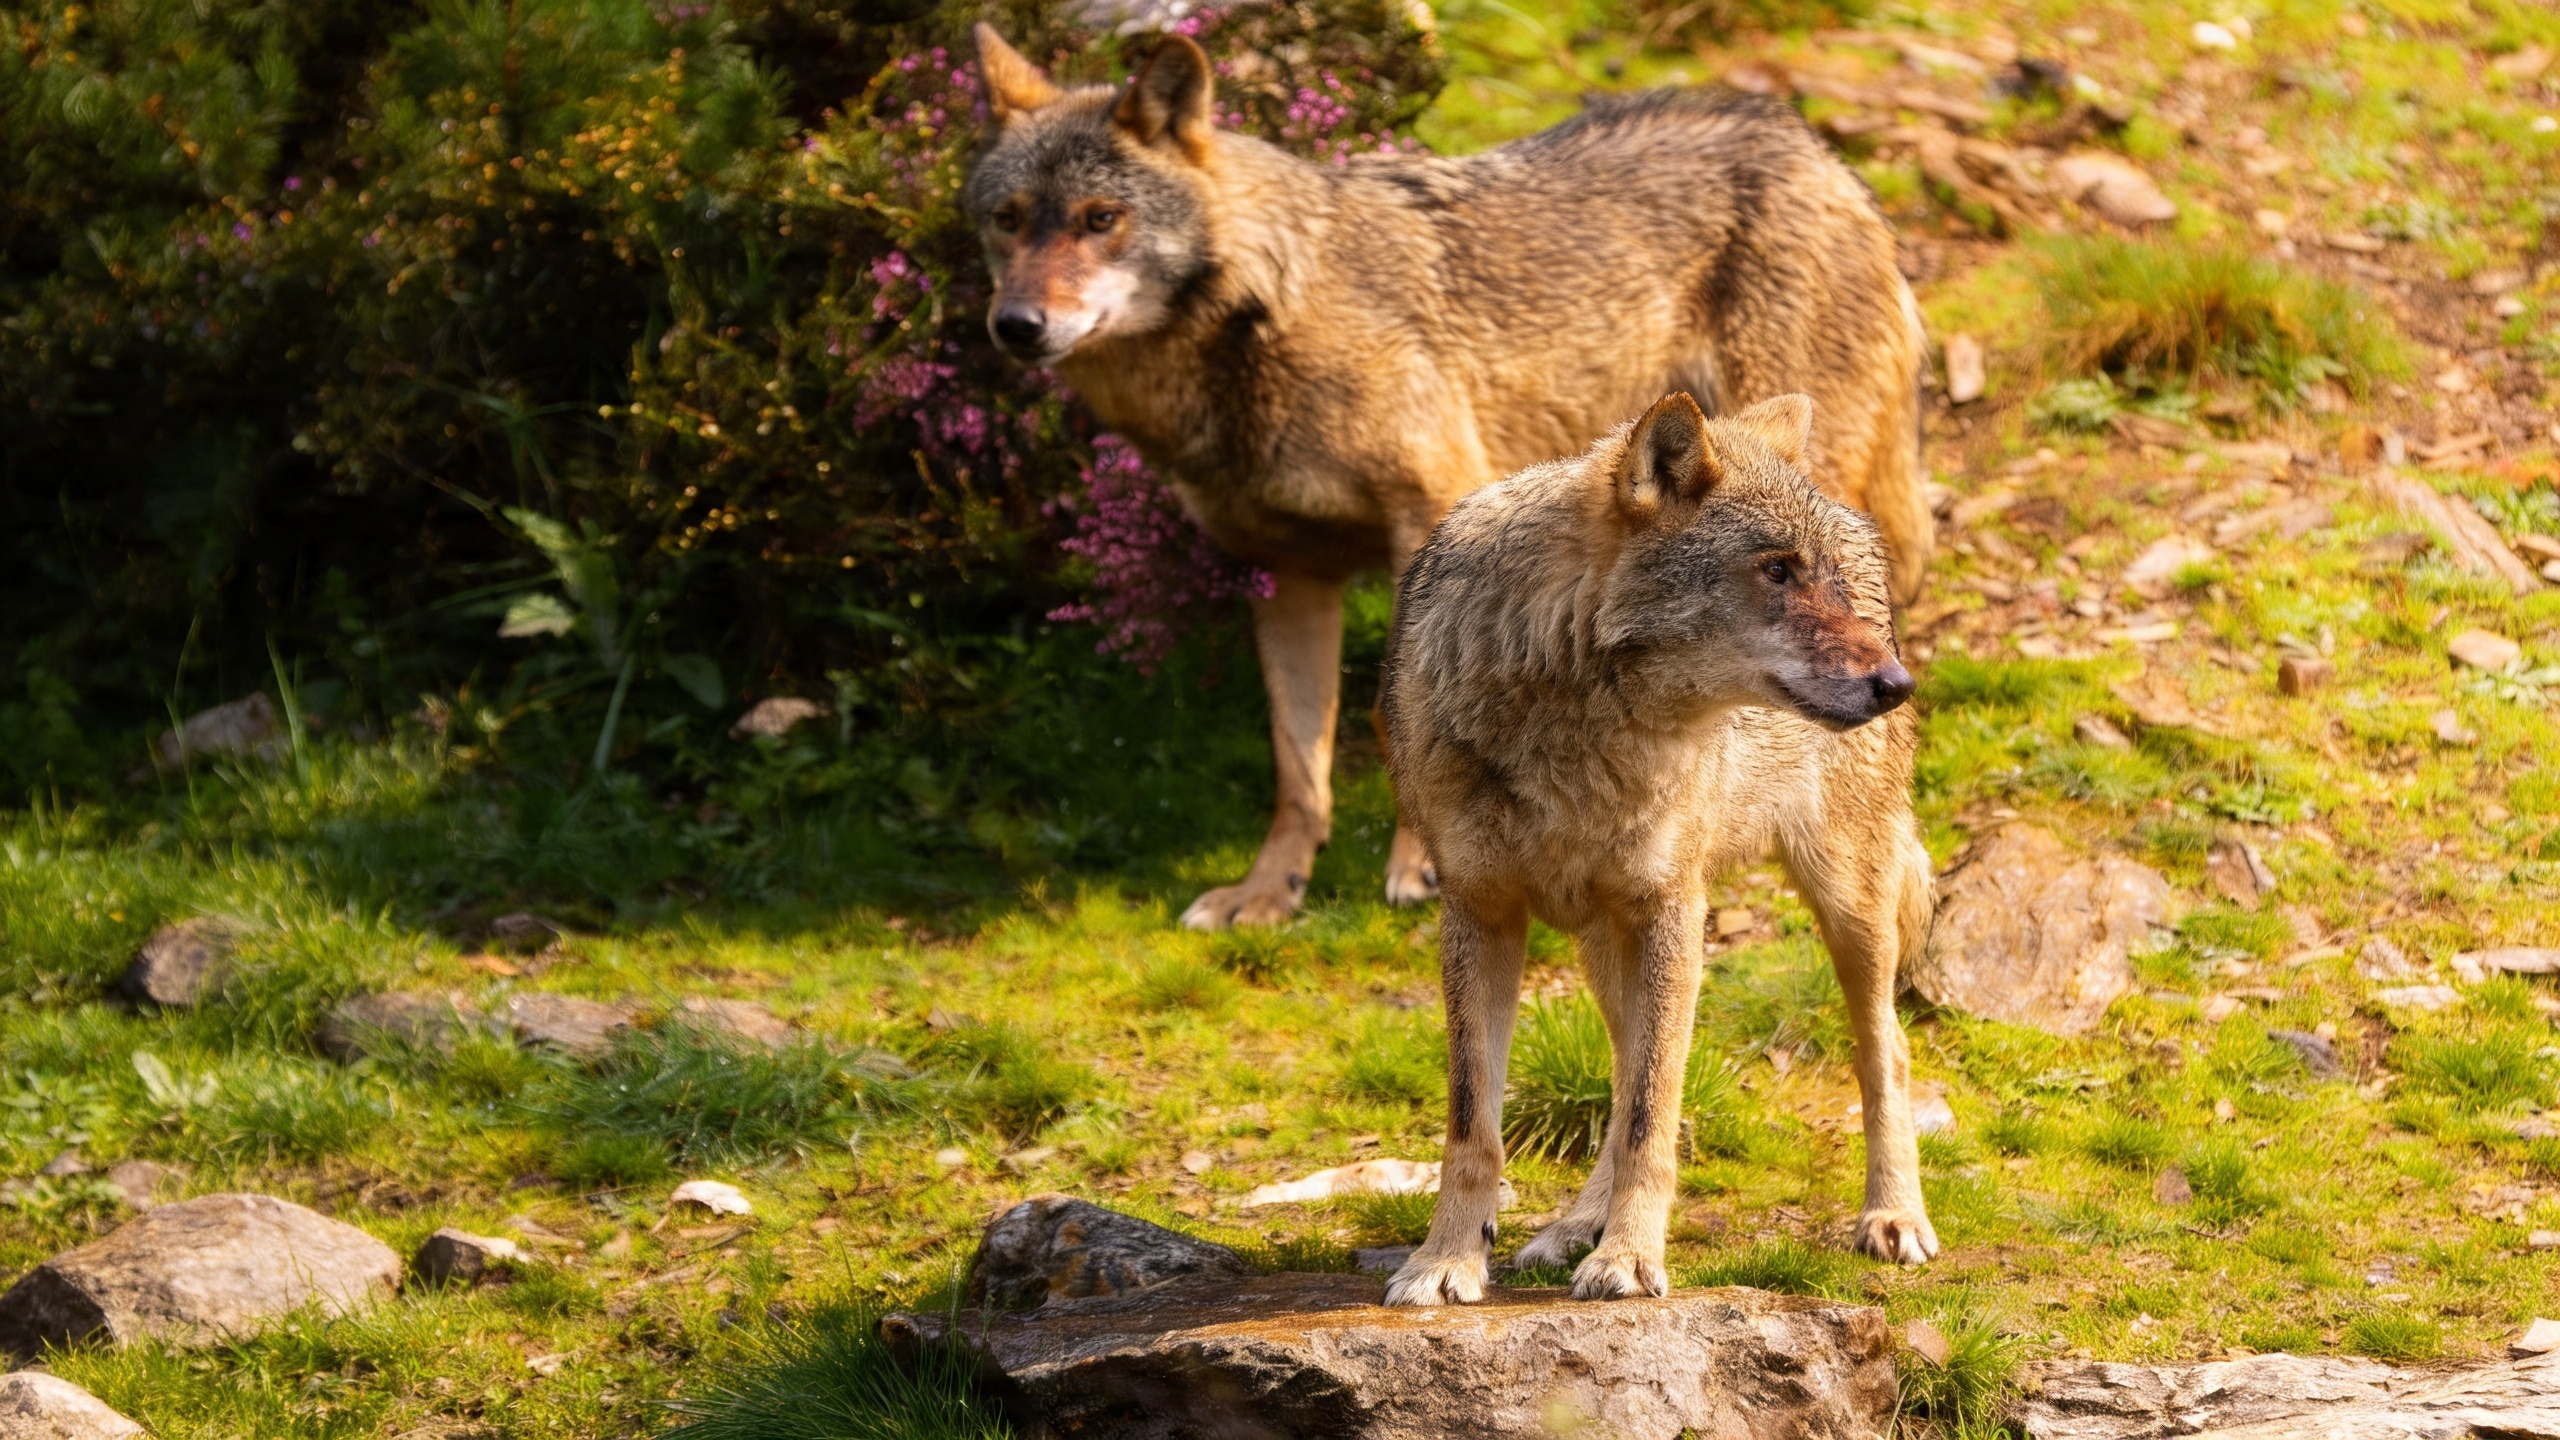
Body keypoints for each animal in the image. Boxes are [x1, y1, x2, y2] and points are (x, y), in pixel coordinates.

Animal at [967, 27, 1930, 929]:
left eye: (1100, 218)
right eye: (1007, 220)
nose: (1016, 324)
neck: (1263, 320)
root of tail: (1814, 149)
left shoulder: (1424, 513)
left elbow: (1394, 713)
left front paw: (1422, 865)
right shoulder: (1287, 575)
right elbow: (1297, 763)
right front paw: (1270, 890)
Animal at [1377, 392, 1936, 1302]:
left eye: (1823, 578)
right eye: (1776, 571)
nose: (1895, 684)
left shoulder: (1673, 907)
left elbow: (1652, 1116)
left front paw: (1631, 1258)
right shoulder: (1478, 912)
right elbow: (1475, 1126)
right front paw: (1448, 1261)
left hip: (1846, 904)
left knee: (1886, 1048)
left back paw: (1894, 1215)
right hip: (1609, 943)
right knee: (1622, 1068)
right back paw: (1574, 1227)